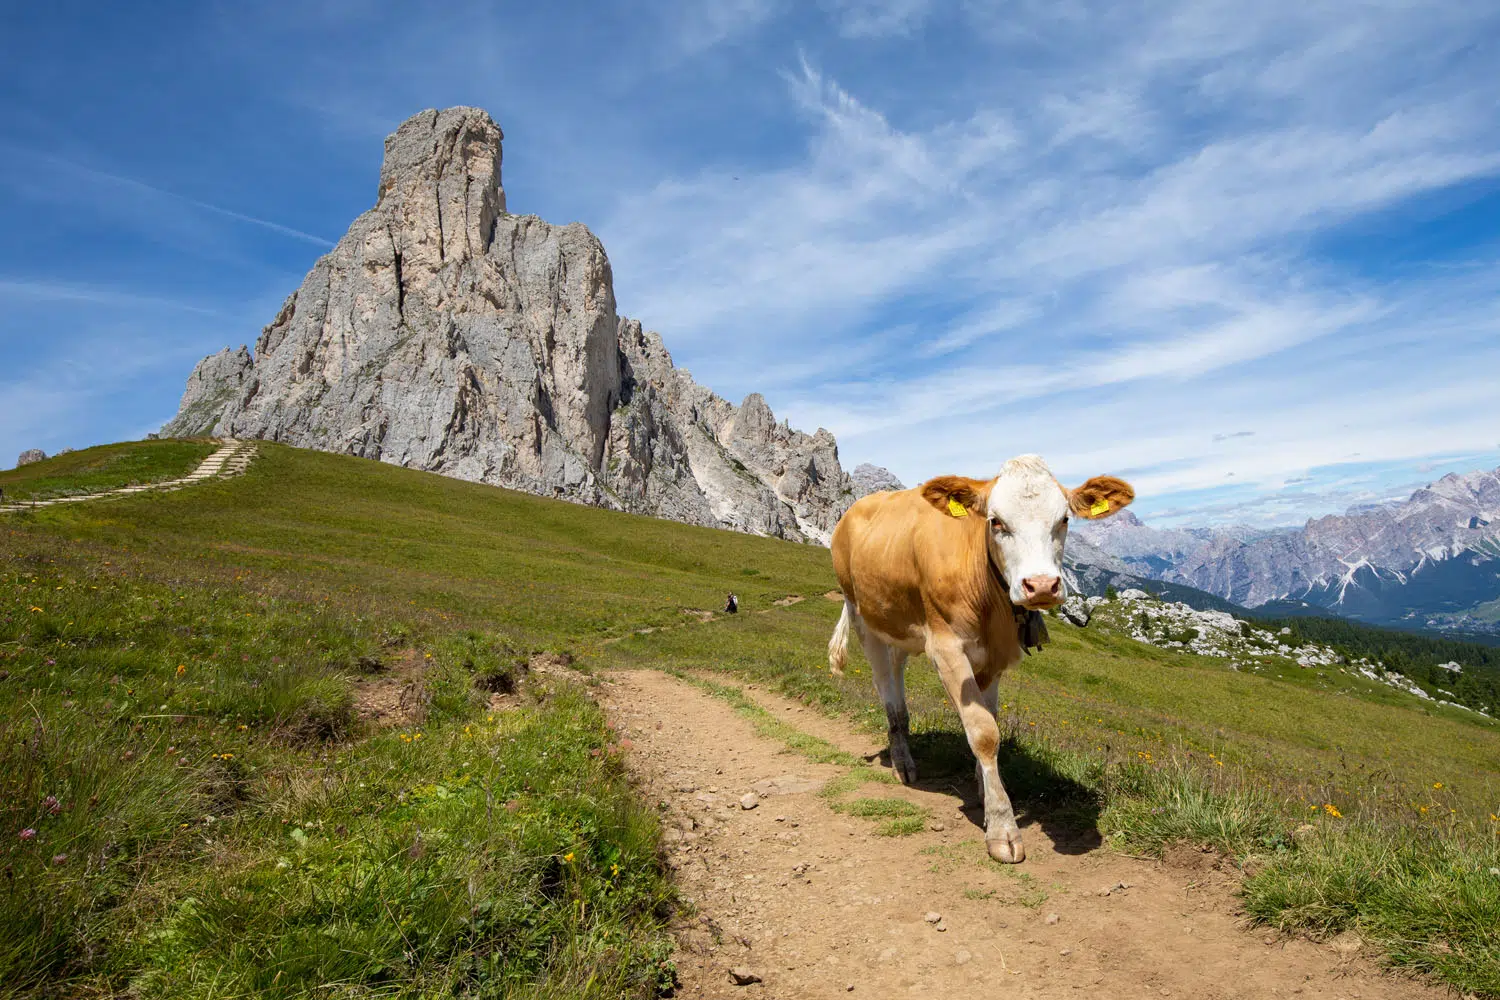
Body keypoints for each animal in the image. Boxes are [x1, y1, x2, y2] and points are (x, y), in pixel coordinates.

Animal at [827, 455, 1134, 863]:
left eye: (1064, 519)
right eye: (996, 521)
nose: (1041, 586)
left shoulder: (996, 656)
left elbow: (991, 720)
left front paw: (984, 790)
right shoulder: (946, 648)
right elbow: (984, 733)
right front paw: (1003, 826)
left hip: (900, 626)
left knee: (897, 676)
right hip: (864, 619)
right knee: (885, 689)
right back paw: (902, 762)